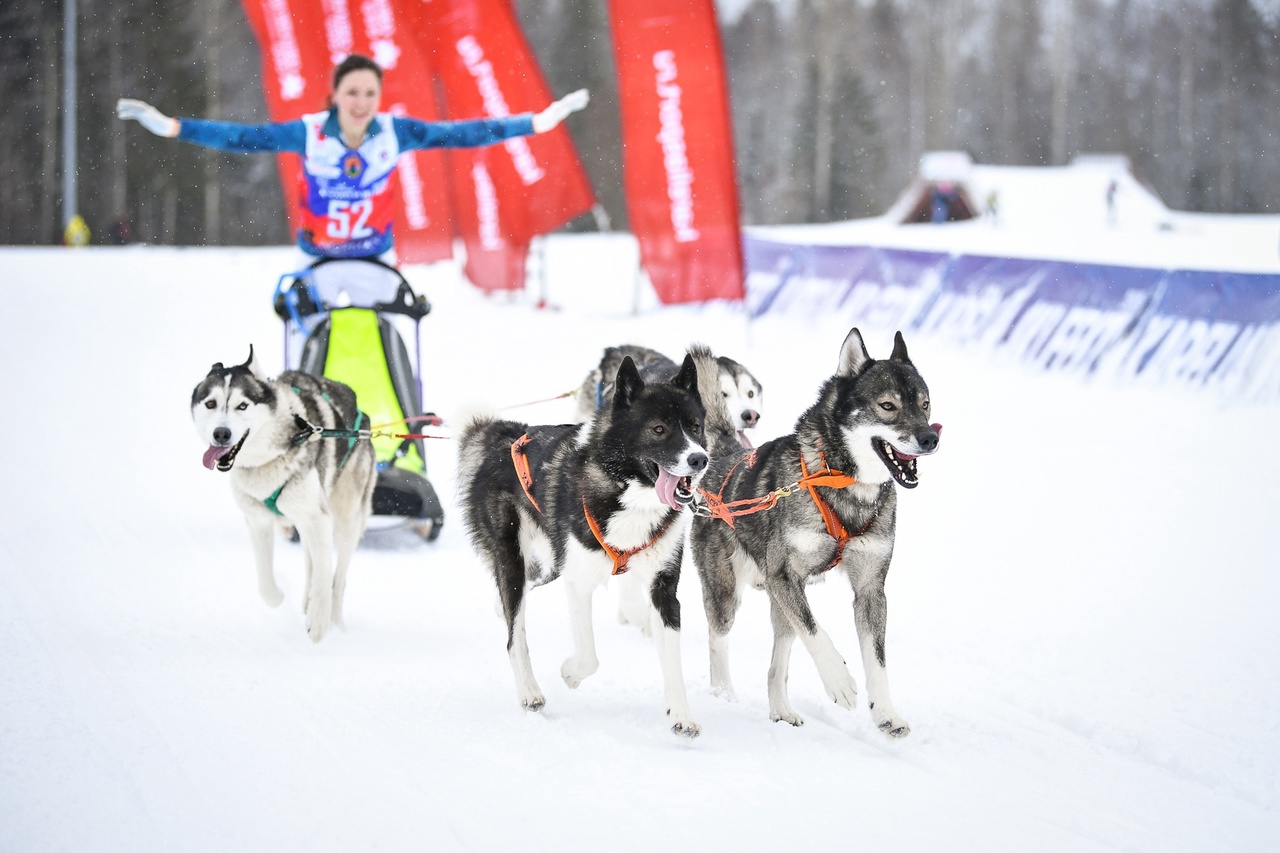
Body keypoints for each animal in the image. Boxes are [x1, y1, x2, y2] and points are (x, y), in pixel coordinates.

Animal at [186, 345, 373, 637]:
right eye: (210, 404)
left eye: (242, 405)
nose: (221, 434)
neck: (266, 459)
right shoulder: (258, 520)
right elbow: (265, 584)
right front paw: (280, 598)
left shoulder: (318, 517)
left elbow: (325, 574)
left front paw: (319, 623)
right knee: (311, 563)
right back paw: (307, 602)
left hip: (346, 521)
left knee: (338, 577)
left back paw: (334, 620)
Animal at [460, 348, 716, 732]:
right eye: (659, 429)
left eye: (696, 427)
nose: (699, 459)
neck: (629, 496)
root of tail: (506, 436)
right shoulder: (579, 581)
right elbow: (589, 657)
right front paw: (570, 673)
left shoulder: (663, 587)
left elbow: (672, 660)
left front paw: (681, 716)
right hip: (515, 559)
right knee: (514, 633)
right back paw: (529, 691)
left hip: (548, 564)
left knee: (515, 598)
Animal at [691, 327, 942, 732]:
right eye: (888, 406)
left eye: (925, 404)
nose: (930, 439)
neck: (845, 485)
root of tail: (724, 460)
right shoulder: (785, 576)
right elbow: (816, 632)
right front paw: (839, 681)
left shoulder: (870, 589)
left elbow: (877, 659)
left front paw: (886, 713)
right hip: (728, 591)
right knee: (719, 641)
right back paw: (723, 695)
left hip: (780, 604)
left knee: (777, 664)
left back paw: (780, 709)